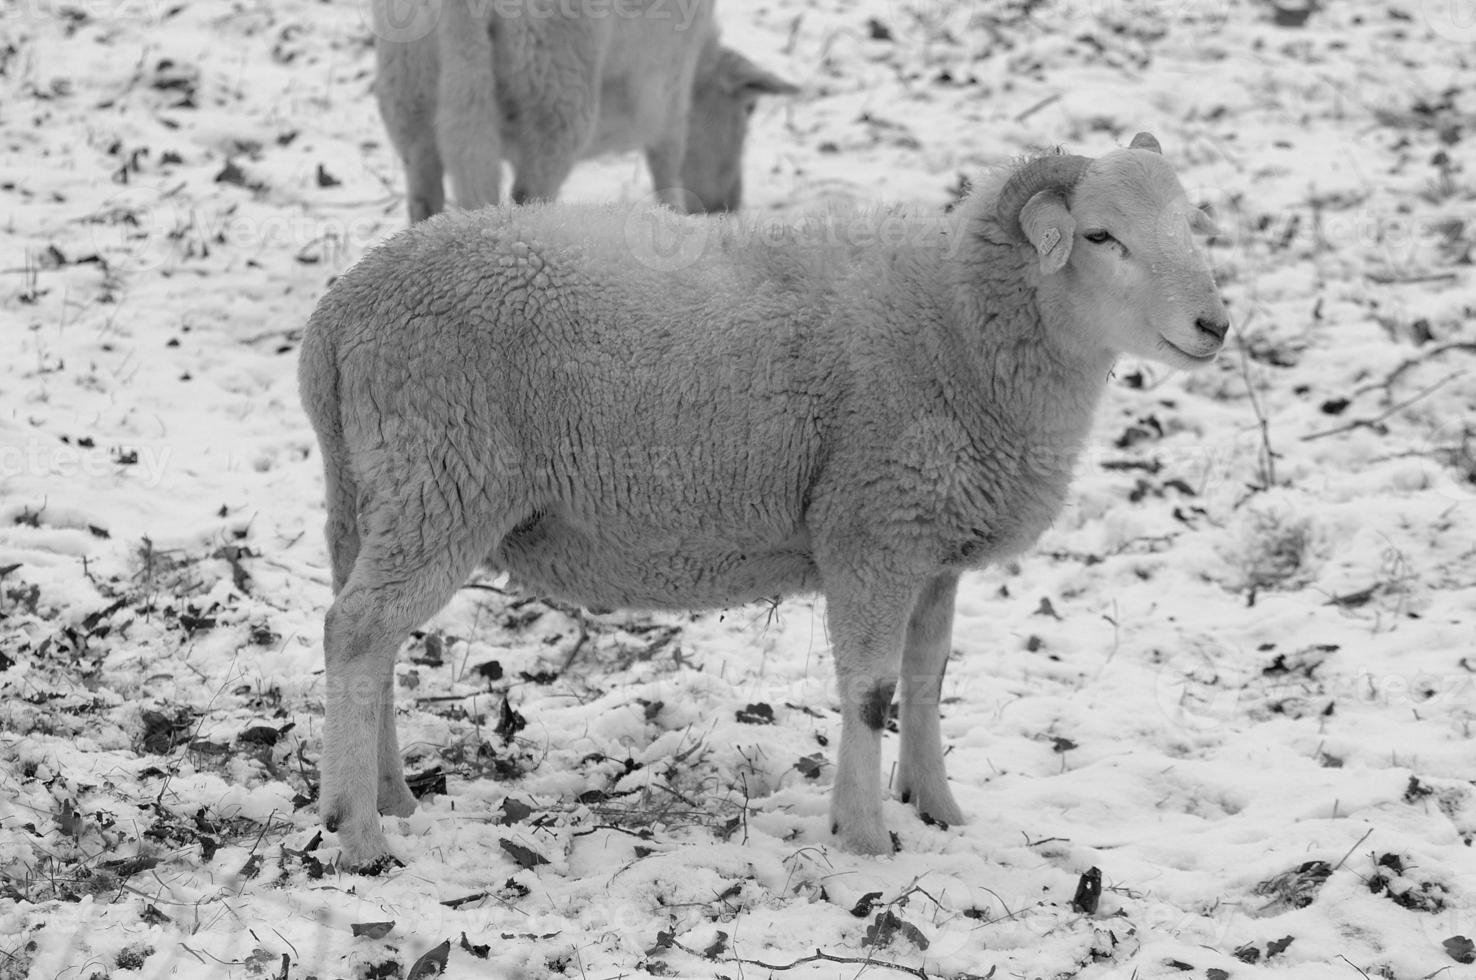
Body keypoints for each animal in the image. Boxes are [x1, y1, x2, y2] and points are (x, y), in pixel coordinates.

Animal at [299, 128, 1233, 867]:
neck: (961, 319)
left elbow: (927, 680)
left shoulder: (933, 552)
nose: (1216, 326)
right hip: (442, 474)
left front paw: (937, 809)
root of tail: (339, 316)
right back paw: (358, 834)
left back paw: (390, 795)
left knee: (366, 638)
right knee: (356, 632)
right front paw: (864, 836)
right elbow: (872, 691)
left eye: (1188, 223)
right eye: (1100, 235)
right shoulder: (871, 531)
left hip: (373, 493)